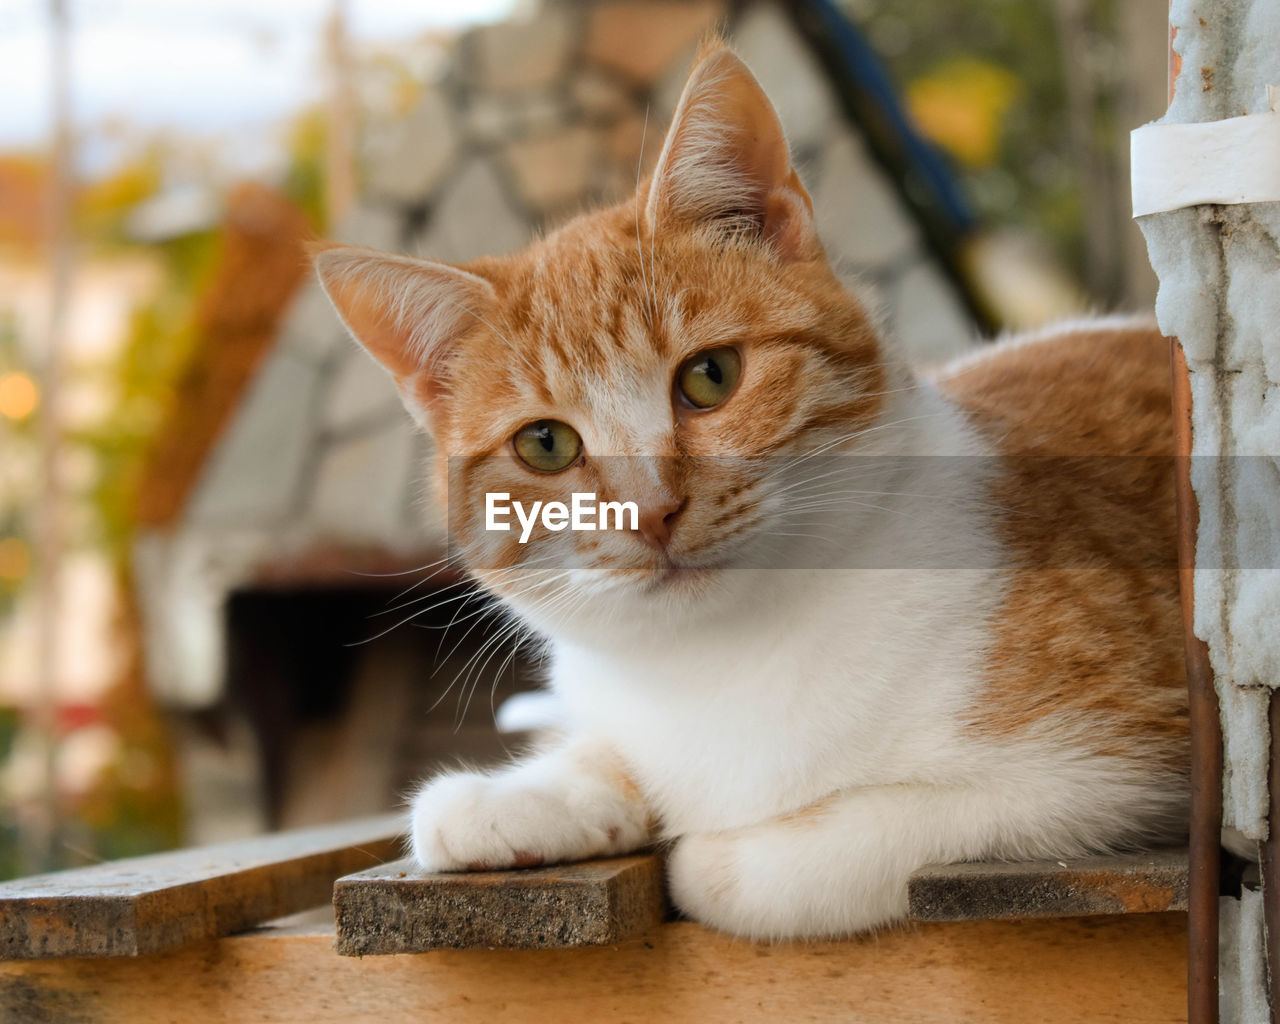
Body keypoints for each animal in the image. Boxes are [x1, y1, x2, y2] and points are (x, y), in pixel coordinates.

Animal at [314, 44, 1182, 942]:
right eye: (546, 445)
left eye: (710, 377)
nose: (652, 510)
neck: (724, 660)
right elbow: (610, 751)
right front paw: (519, 794)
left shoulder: (1102, 771)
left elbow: (790, 857)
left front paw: (708, 850)